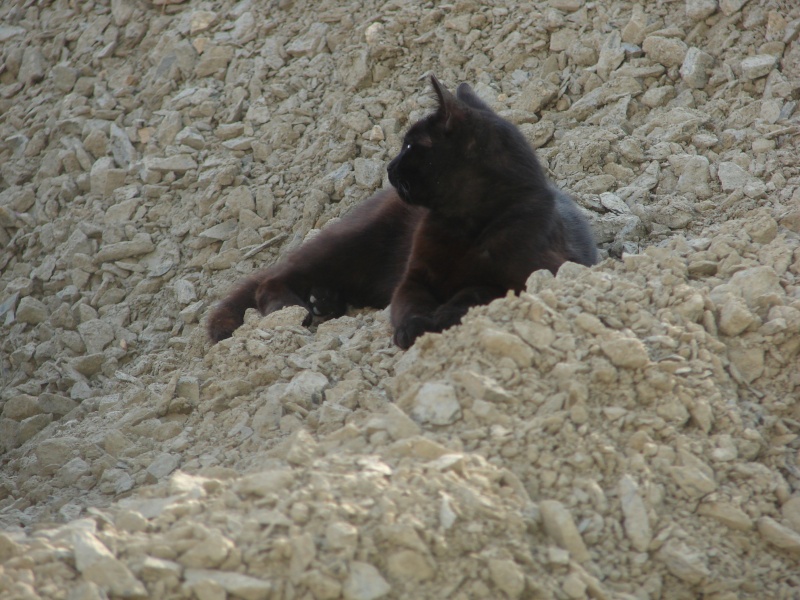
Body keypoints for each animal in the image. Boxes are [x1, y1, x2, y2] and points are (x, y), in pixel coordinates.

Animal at [206, 75, 592, 350]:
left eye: (410, 146)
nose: (389, 166)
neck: (464, 225)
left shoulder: (537, 272)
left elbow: (479, 290)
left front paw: (446, 312)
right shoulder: (413, 278)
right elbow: (409, 303)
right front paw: (413, 327)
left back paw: (324, 300)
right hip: (350, 244)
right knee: (273, 279)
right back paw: (292, 307)